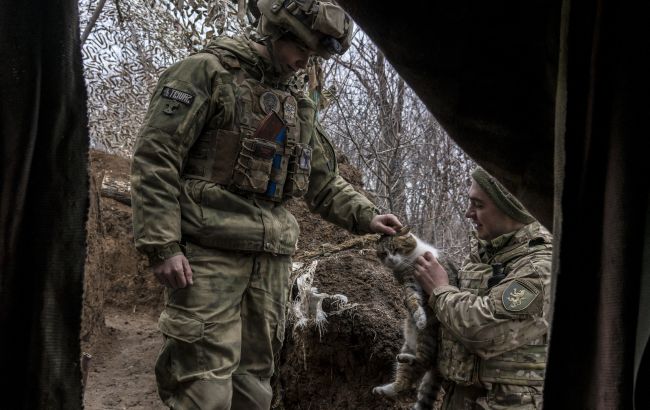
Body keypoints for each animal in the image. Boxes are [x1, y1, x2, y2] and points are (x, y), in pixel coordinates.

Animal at [372, 227, 458, 410]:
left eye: (396, 249)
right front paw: (418, 315)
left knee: (425, 360)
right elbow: (412, 300)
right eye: (383, 254)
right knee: (405, 380)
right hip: (407, 347)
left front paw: (420, 319)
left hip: (427, 337)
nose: (391, 260)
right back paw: (384, 389)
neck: (411, 260)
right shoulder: (410, 282)